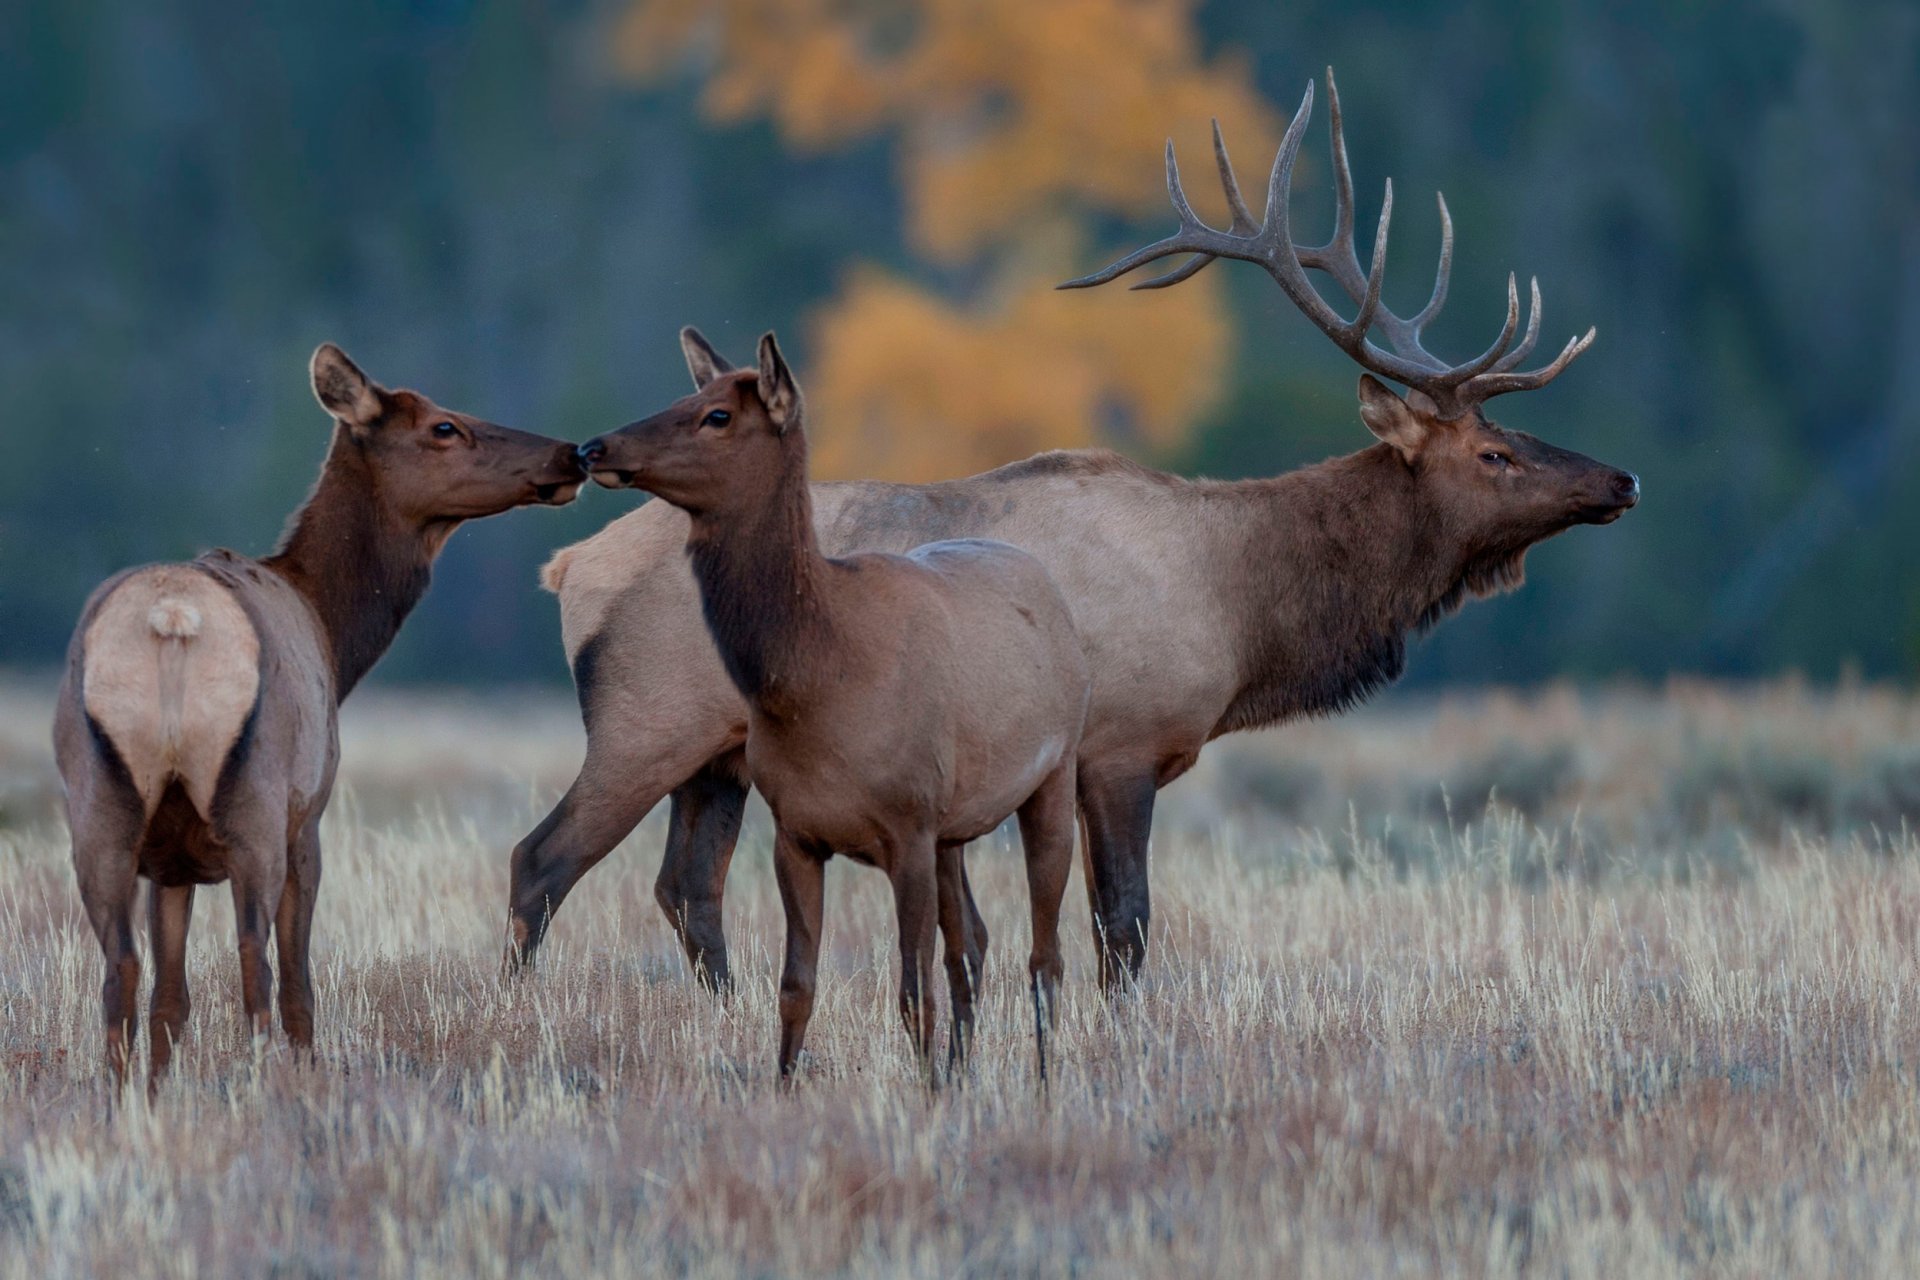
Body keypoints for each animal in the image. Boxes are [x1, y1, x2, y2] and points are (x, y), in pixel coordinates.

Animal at [60, 345, 583, 1090]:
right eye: (444, 426)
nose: (572, 454)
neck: (334, 634)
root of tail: (171, 619)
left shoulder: (171, 861)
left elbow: (171, 997)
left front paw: (160, 1090)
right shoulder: (308, 818)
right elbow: (298, 984)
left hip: (98, 805)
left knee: (121, 968)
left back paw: (120, 1096)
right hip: (257, 801)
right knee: (256, 964)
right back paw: (263, 1087)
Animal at [510, 65, 1635, 997]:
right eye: (1493, 453)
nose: (1621, 477)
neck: (1239, 609)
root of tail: (565, 567)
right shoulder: (1120, 747)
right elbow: (1122, 929)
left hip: (719, 757)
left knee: (685, 889)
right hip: (644, 722)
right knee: (541, 861)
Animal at [568, 333, 1090, 1082]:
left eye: (718, 415)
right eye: (687, 394)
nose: (594, 447)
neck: (819, 683)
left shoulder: (908, 825)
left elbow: (911, 990)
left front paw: (927, 1093)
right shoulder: (797, 830)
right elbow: (797, 987)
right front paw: (788, 1088)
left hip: (1053, 772)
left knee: (1043, 956)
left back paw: (1042, 1082)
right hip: (956, 824)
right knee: (972, 941)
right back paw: (965, 1069)